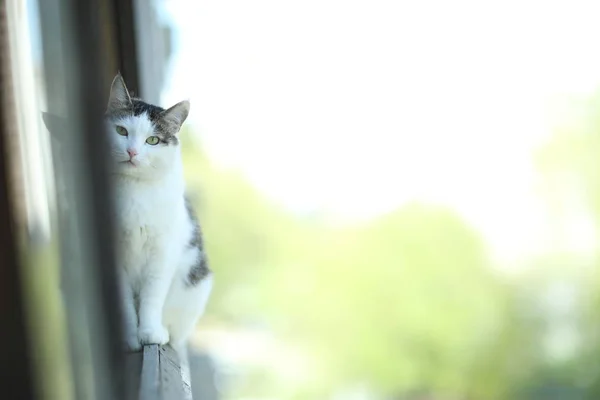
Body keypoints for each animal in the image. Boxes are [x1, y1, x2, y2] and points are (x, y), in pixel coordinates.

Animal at [103, 76, 213, 356]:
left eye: (152, 140)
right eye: (122, 131)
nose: (132, 152)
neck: (133, 190)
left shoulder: (162, 253)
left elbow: (152, 297)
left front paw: (150, 333)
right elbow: (125, 303)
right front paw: (129, 339)